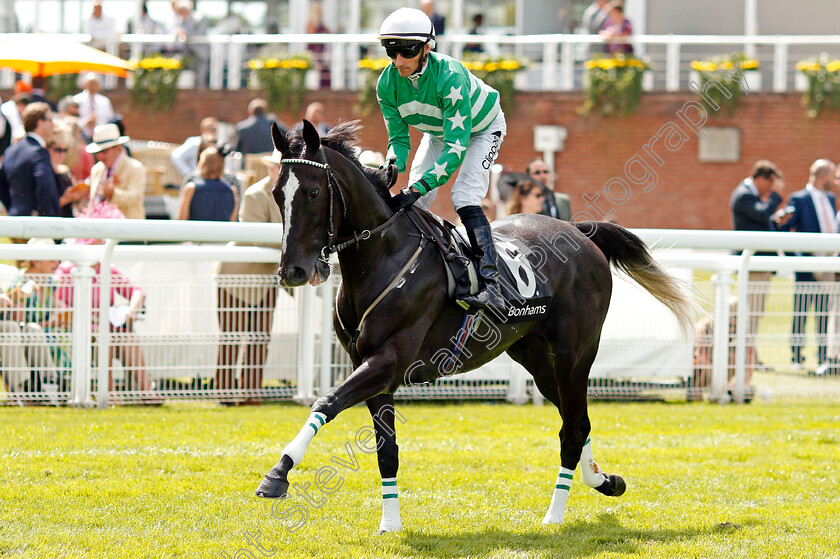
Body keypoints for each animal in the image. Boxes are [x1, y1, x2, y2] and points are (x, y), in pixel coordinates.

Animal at [258, 119, 696, 532]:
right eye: (278, 194)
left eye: (312, 193)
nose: (293, 270)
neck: (382, 257)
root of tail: (580, 231)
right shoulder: (367, 365)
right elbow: (387, 452)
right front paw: (390, 524)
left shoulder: (389, 360)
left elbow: (326, 402)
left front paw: (278, 473)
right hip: (532, 354)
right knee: (573, 419)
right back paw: (603, 480)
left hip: (576, 352)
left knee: (573, 428)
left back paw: (554, 516)